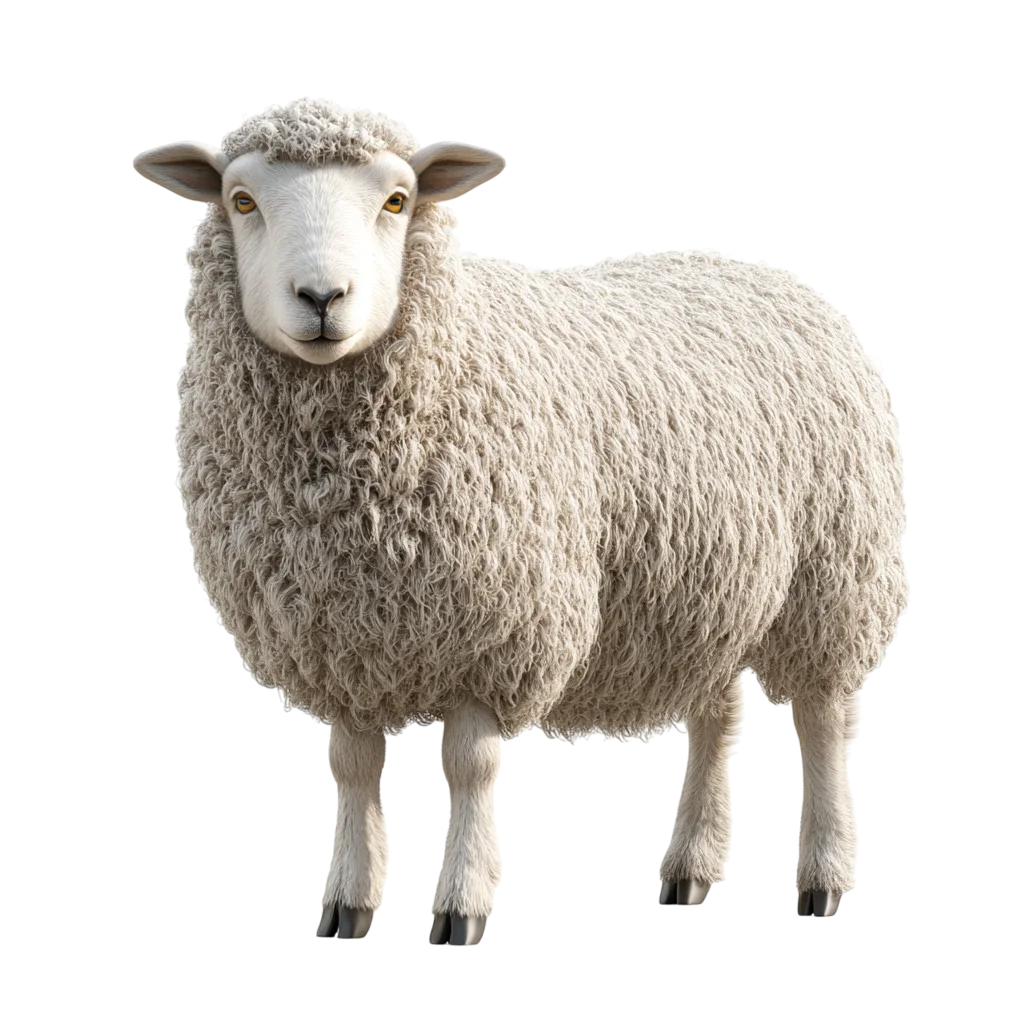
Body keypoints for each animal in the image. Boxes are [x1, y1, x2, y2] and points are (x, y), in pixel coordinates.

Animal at [133, 101, 907, 941]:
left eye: (397, 201)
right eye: (241, 201)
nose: (322, 297)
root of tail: (763, 269)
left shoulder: (498, 628)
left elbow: (470, 767)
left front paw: (462, 906)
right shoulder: (346, 640)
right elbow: (353, 767)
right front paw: (348, 903)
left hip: (834, 573)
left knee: (826, 719)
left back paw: (821, 879)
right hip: (709, 587)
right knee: (719, 715)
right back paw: (692, 871)